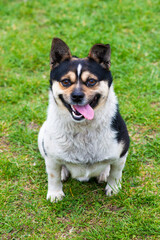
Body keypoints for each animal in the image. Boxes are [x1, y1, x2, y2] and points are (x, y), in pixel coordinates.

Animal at [38, 38, 130, 202]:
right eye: (66, 82)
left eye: (91, 81)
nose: (77, 96)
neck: (83, 127)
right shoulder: (51, 157)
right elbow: (53, 176)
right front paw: (55, 194)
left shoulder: (121, 154)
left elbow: (115, 173)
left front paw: (113, 189)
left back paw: (104, 173)